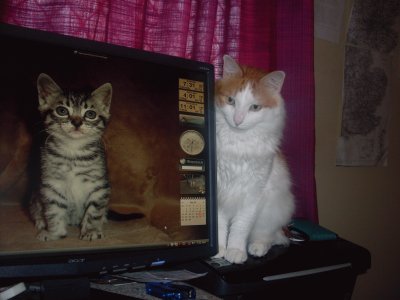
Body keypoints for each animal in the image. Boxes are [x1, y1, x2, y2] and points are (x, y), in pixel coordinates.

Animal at [29, 73, 112, 241]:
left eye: (90, 114)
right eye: (62, 110)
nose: (76, 122)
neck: (73, 152)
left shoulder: (98, 184)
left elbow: (94, 210)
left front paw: (91, 230)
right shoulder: (52, 184)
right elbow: (54, 210)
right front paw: (54, 233)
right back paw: (40, 221)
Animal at [214, 55, 296, 262]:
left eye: (255, 107)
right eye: (231, 101)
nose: (238, 120)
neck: (237, 142)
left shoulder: (253, 194)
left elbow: (240, 227)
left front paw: (235, 251)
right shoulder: (218, 190)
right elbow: (219, 225)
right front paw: (219, 249)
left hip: (272, 211)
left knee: (270, 237)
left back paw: (257, 247)